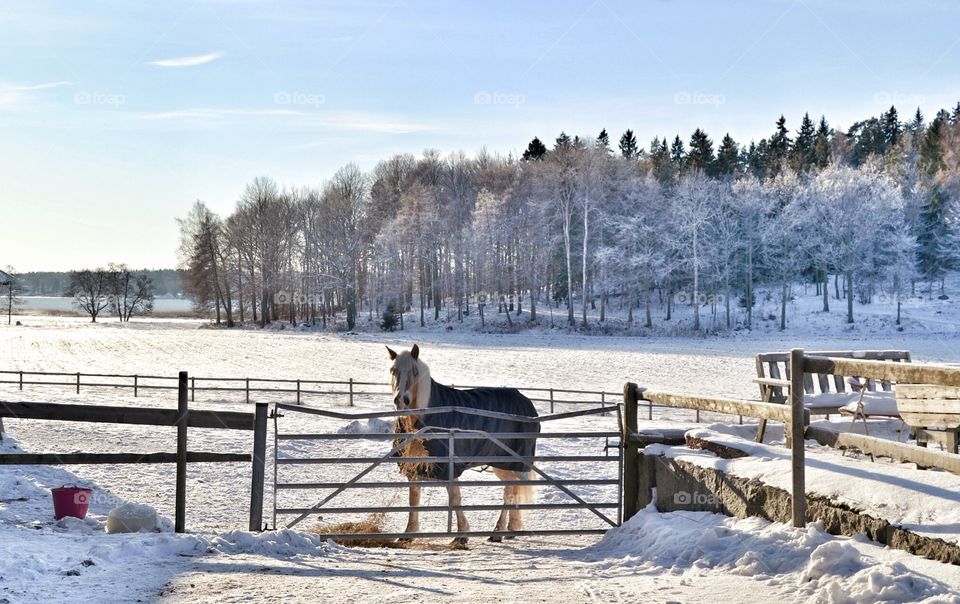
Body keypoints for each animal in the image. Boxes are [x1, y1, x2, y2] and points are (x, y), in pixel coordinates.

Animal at [388, 344, 540, 548]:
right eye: (393, 370)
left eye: (414, 372)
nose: (401, 400)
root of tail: (526, 403)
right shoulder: (414, 468)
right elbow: (414, 499)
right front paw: (408, 534)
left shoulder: (450, 467)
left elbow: (455, 498)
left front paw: (461, 535)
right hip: (502, 464)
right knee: (512, 489)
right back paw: (509, 529)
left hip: (515, 463)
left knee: (511, 492)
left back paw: (499, 532)